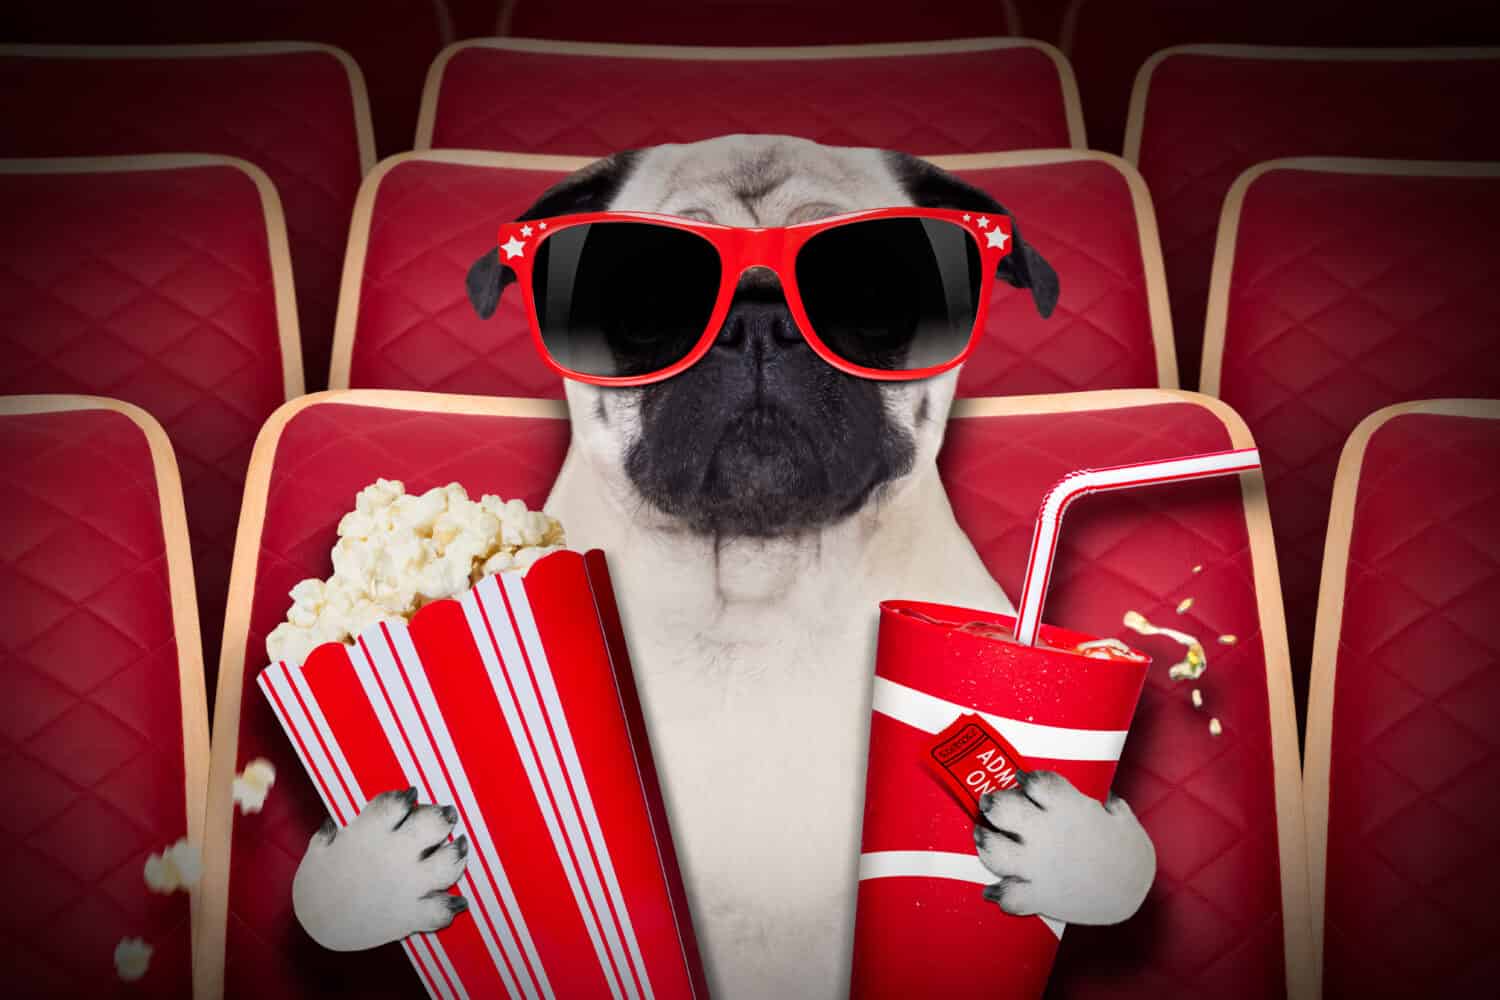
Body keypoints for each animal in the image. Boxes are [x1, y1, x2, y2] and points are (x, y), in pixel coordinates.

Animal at [295, 134, 1158, 1000]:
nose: (759, 322)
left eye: (871, 297)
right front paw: (376, 869)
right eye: (646, 306)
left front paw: (1068, 848)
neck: (757, 596)